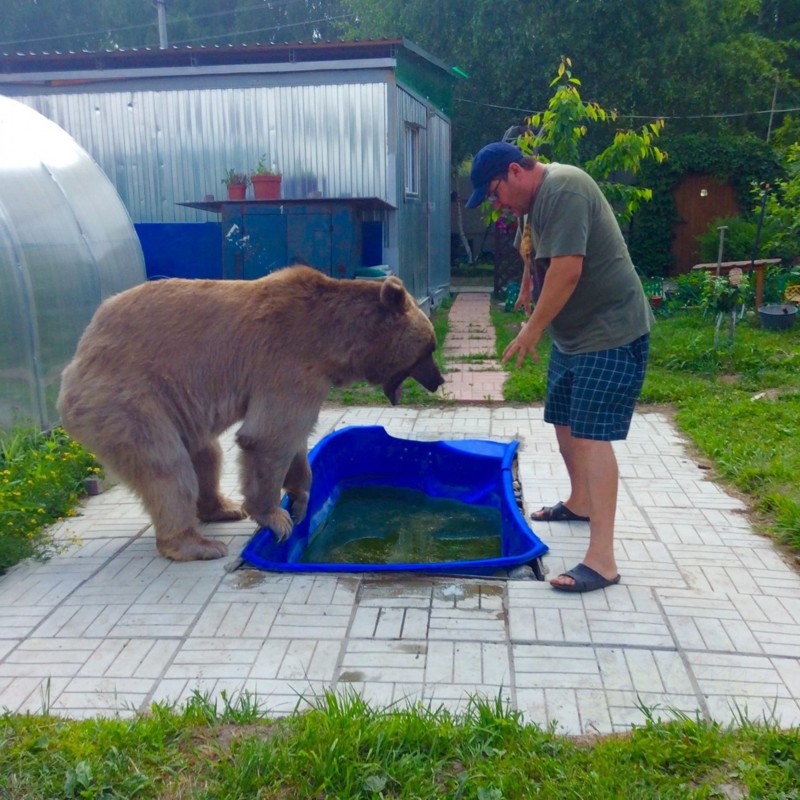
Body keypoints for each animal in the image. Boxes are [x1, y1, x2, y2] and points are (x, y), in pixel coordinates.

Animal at [56, 268, 444, 564]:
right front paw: (276, 517)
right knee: (166, 469)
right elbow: (269, 436)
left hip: (174, 408)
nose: (439, 380)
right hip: (129, 400)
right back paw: (197, 544)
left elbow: (293, 437)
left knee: (207, 454)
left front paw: (300, 497)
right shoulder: (289, 361)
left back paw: (222, 508)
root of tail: (78, 356)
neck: (335, 341)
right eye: (430, 347)